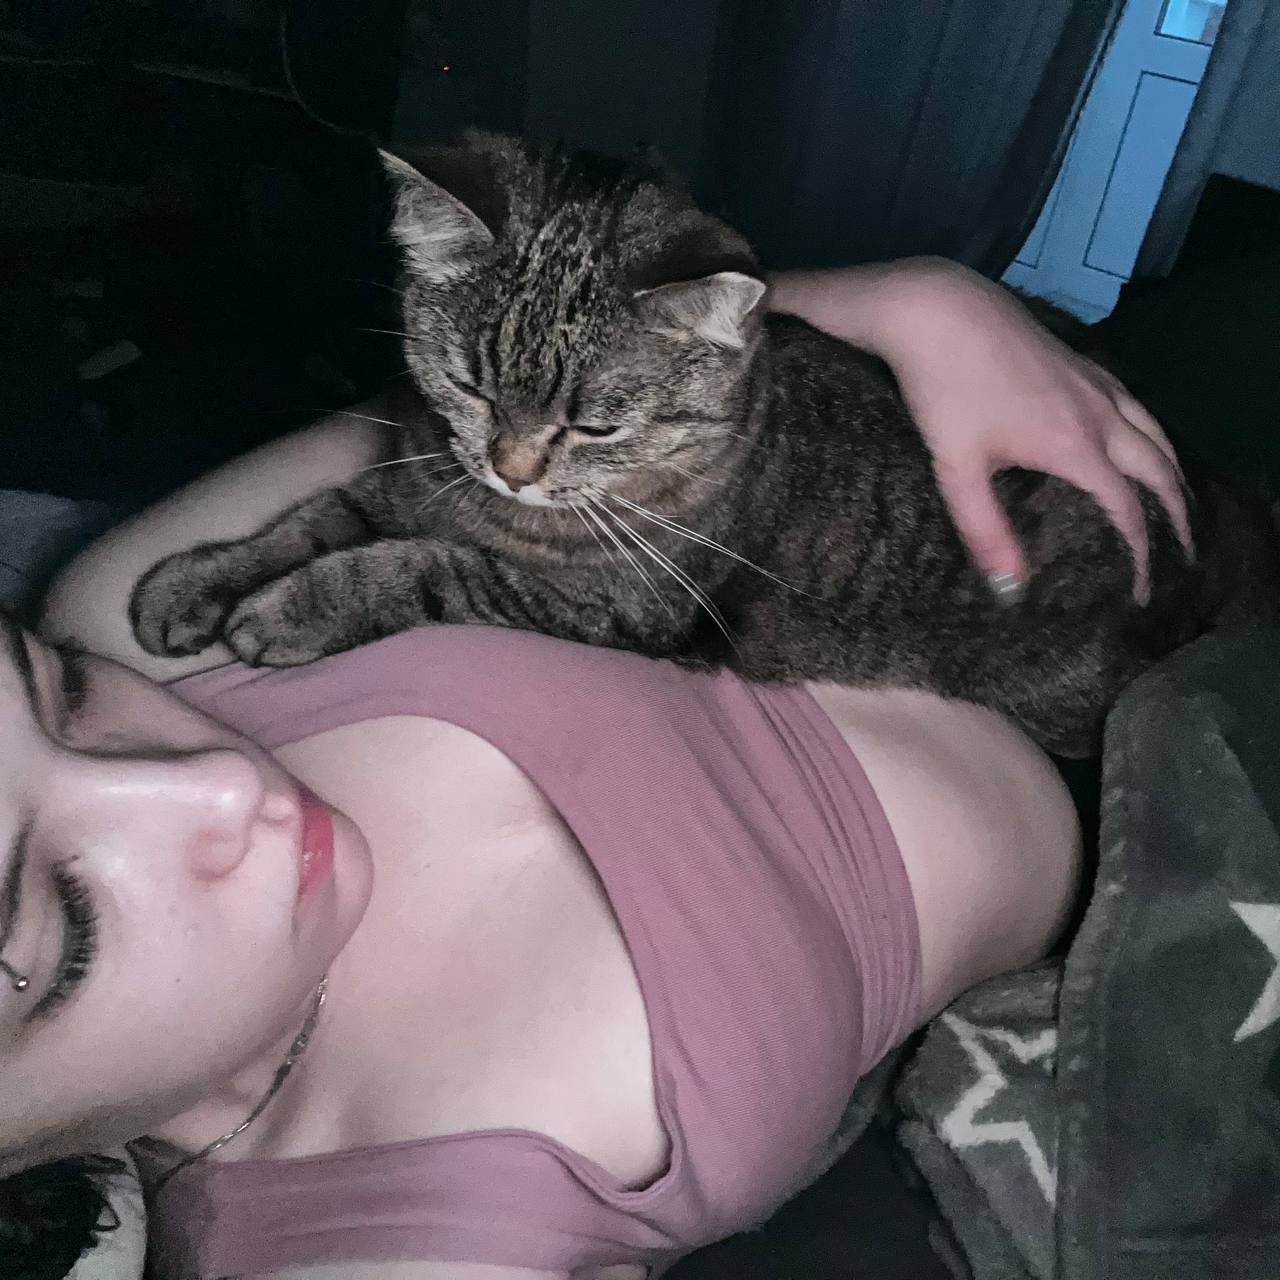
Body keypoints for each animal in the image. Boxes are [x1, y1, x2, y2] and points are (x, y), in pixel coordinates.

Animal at [128, 130, 1260, 758]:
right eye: (469, 383)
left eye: (595, 422)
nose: (510, 467)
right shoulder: (412, 473)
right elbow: (313, 516)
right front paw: (196, 579)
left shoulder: (608, 605)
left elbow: (414, 566)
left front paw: (290, 609)